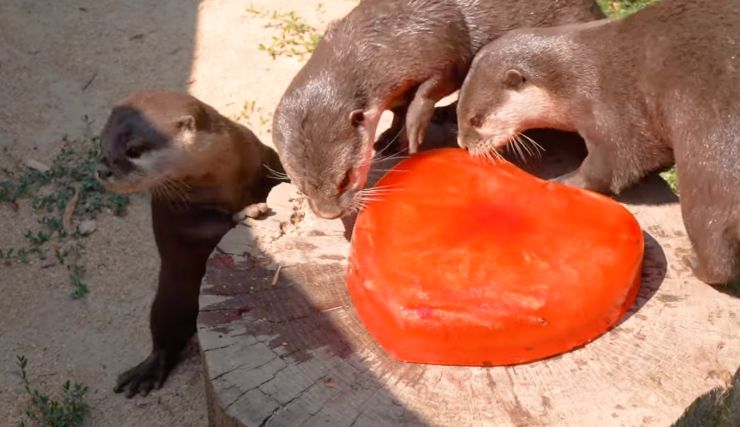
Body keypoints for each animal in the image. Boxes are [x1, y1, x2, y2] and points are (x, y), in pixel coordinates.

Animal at [95, 90, 286, 398]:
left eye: (134, 150)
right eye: (101, 144)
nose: (102, 170)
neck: (221, 173)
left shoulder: (260, 152)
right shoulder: (176, 209)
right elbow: (207, 228)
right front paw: (248, 211)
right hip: (171, 296)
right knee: (164, 334)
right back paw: (147, 371)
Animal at [268, 0, 604, 219]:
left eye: (346, 177)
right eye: (302, 186)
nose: (329, 214)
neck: (388, 37)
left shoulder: (442, 48)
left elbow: (429, 90)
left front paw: (414, 134)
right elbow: (399, 109)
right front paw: (389, 138)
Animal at [456, 0, 740, 288]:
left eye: (475, 119)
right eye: (457, 110)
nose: (463, 144)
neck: (574, 78)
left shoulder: (610, 107)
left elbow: (616, 162)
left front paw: (561, 182)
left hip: (709, 148)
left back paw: (693, 262)